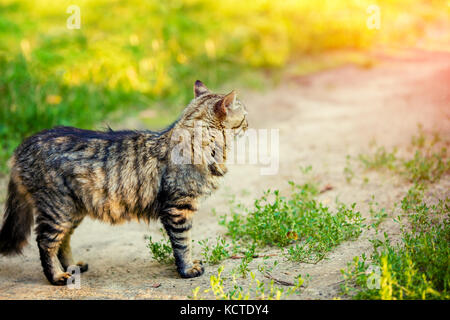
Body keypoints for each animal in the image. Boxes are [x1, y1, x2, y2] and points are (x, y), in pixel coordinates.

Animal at [0, 80, 246, 284]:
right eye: (244, 117)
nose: (248, 124)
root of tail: (25, 143)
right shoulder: (178, 209)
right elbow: (183, 243)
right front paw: (187, 269)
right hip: (57, 209)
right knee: (46, 242)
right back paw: (58, 276)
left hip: (73, 210)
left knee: (64, 241)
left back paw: (72, 267)